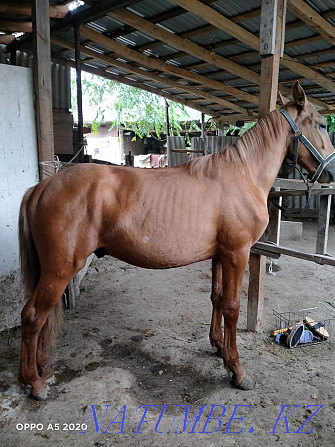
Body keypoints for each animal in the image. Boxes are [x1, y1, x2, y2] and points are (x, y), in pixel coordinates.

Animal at [19, 82, 335, 400]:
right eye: (322, 124)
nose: (332, 173)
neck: (243, 175)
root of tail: (41, 187)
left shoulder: (220, 255)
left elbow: (217, 298)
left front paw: (218, 346)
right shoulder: (237, 254)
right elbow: (232, 307)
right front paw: (236, 369)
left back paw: (44, 370)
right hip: (59, 270)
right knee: (33, 315)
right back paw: (34, 382)